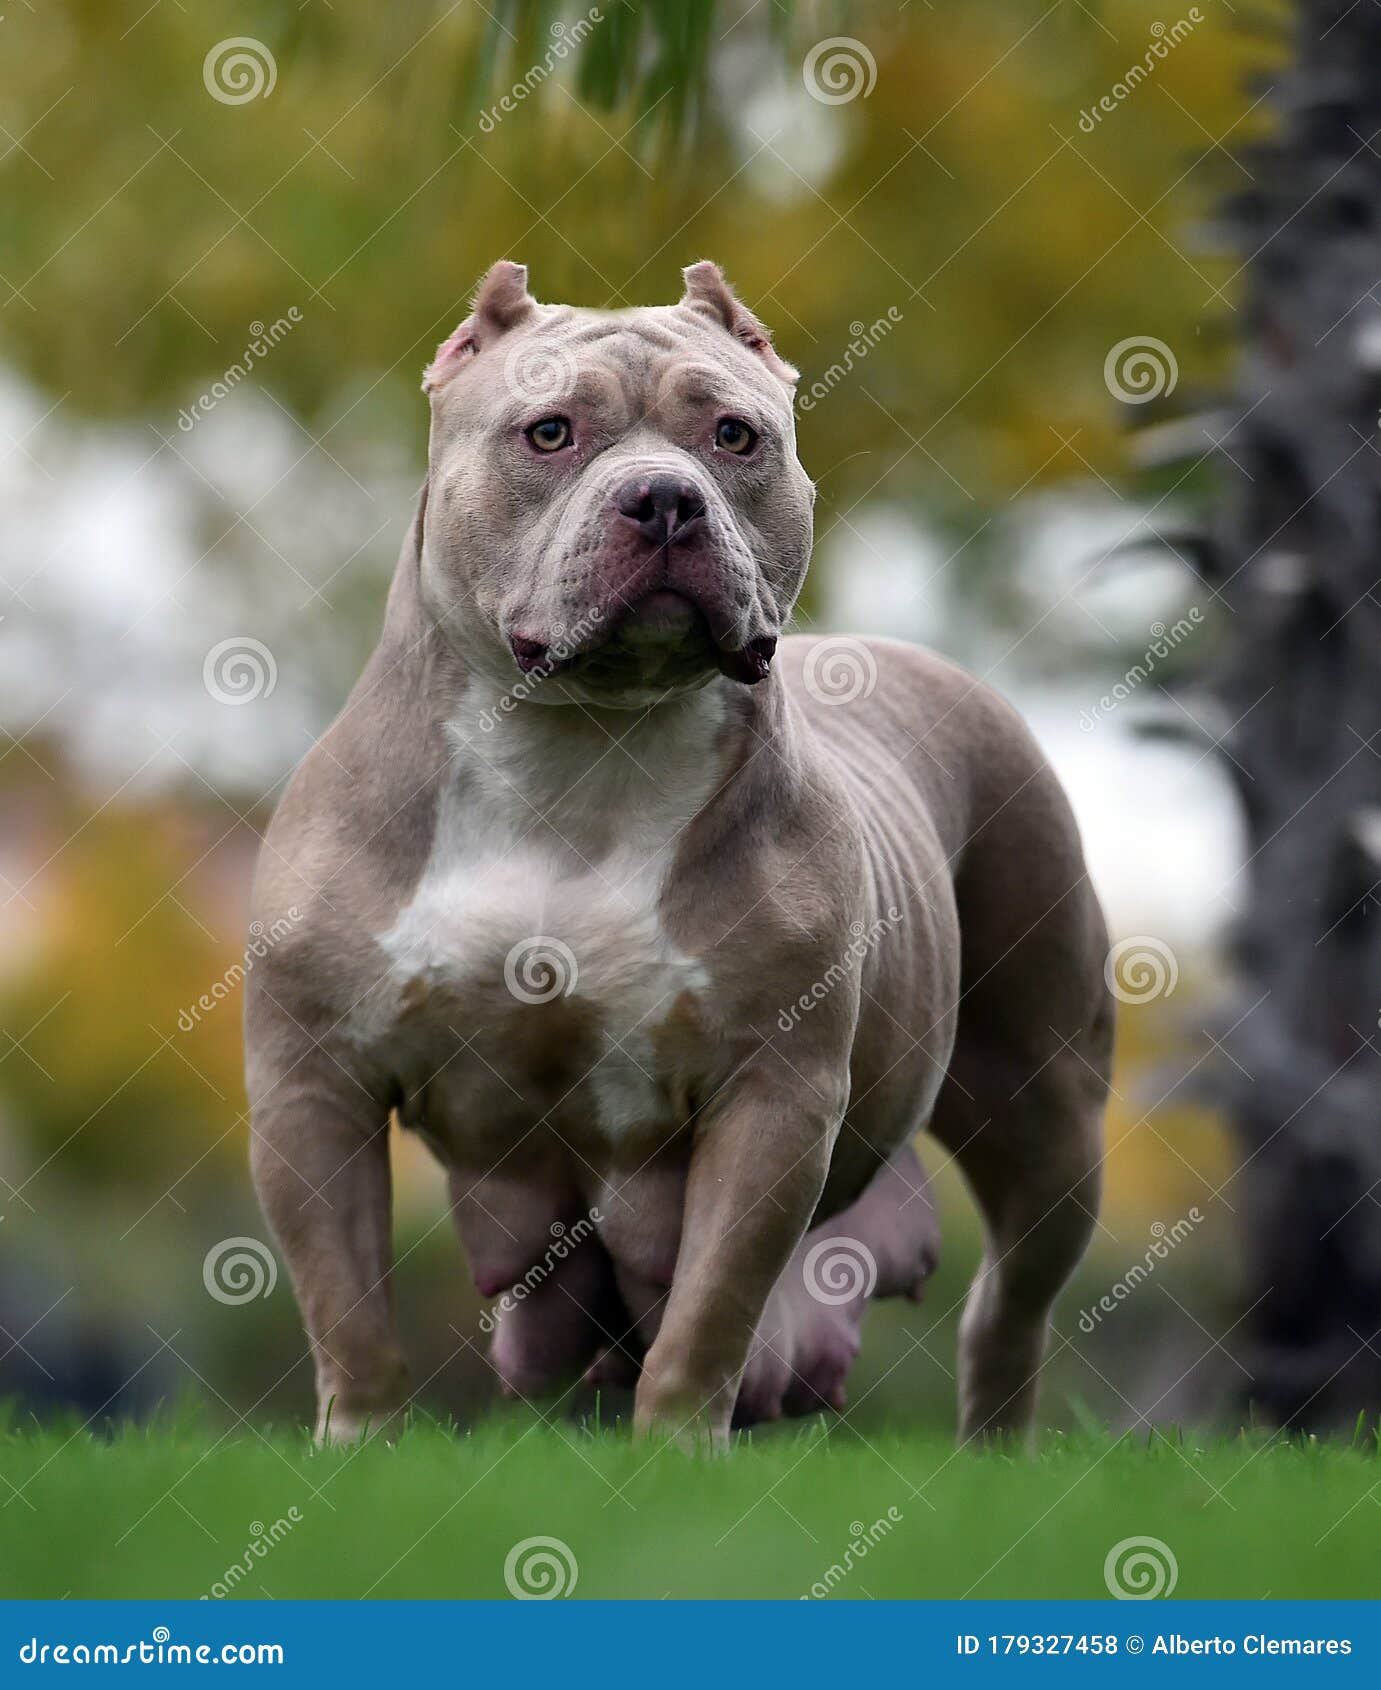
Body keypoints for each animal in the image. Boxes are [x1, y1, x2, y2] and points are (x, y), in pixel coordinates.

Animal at [245, 263, 1108, 1453]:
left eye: (735, 435)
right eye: (549, 432)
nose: (663, 497)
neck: (578, 748)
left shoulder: (770, 1095)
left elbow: (712, 1309)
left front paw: (678, 1451)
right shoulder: (311, 1082)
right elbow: (348, 1306)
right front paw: (362, 1447)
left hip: (1044, 1104)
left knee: (1008, 1303)